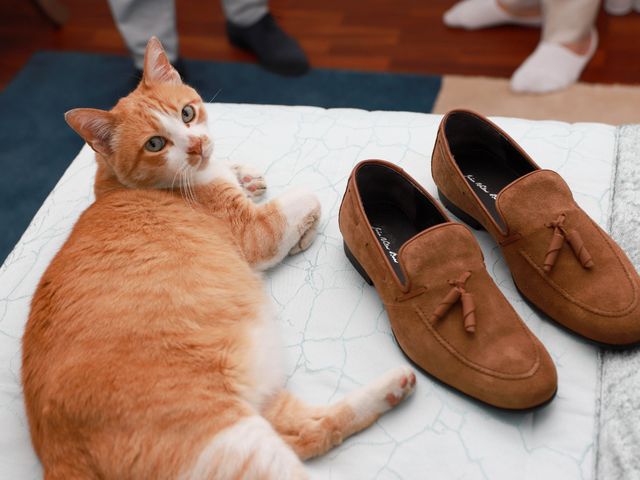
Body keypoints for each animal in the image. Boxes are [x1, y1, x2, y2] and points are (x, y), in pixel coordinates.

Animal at [20, 38, 416, 480]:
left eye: (187, 113)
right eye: (155, 144)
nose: (196, 146)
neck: (125, 186)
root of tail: (57, 453)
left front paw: (246, 175)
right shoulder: (257, 232)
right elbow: (308, 198)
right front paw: (304, 232)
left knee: (310, 431)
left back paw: (393, 387)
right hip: (234, 440)